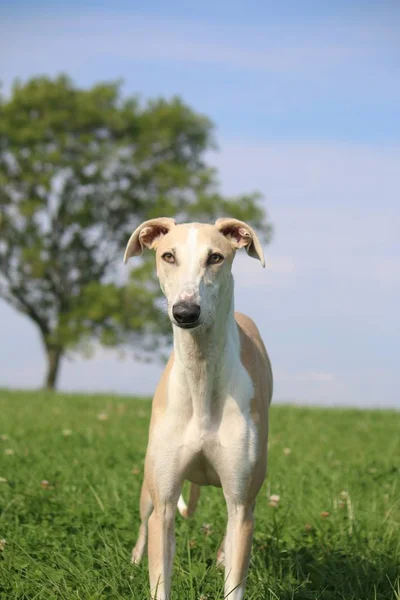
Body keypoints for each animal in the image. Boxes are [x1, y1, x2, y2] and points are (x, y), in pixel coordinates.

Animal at [123, 218, 272, 596]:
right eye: (168, 256)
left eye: (215, 257)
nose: (186, 312)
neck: (201, 379)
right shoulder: (163, 505)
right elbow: (159, 577)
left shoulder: (241, 501)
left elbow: (235, 580)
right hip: (149, 488)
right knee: (144, 522)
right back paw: (134, 559)